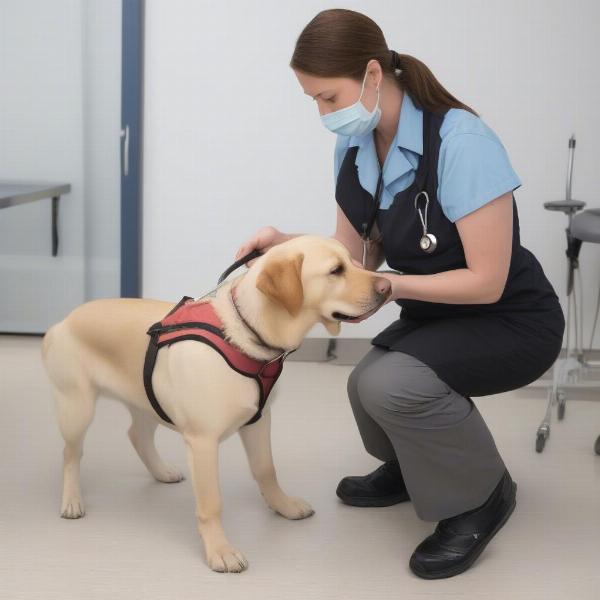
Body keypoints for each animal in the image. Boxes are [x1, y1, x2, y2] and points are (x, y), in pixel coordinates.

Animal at [41, 233, 390, 572]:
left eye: (355, 262)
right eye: (335, 270)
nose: (387, 286)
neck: (245, 335)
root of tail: (61, 322)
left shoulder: (259, 420)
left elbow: (266, 469)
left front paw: (283, 505)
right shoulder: (203, 442)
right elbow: (211, 503)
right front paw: (220, 551)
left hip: (146, 400)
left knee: (136, 435)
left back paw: (161, 472)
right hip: (77, 408)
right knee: (71, 454)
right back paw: (72, 500)